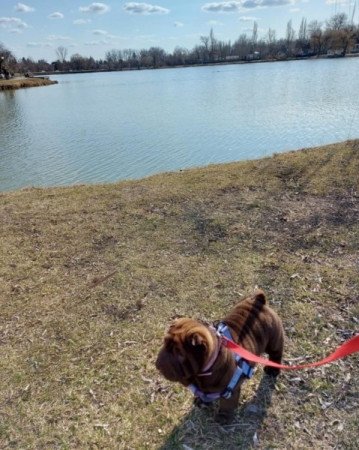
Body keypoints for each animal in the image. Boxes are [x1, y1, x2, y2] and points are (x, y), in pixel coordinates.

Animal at [156, 290, 286, 424]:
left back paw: (273, 370)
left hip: (273, 340)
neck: (201, 374)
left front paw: (223, 417)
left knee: (276, 353)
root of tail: (259, 301)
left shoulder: (230, 392)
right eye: (164, 344)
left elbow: (226, 405)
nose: (158, 364)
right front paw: (202, 401)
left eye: (180, 354)